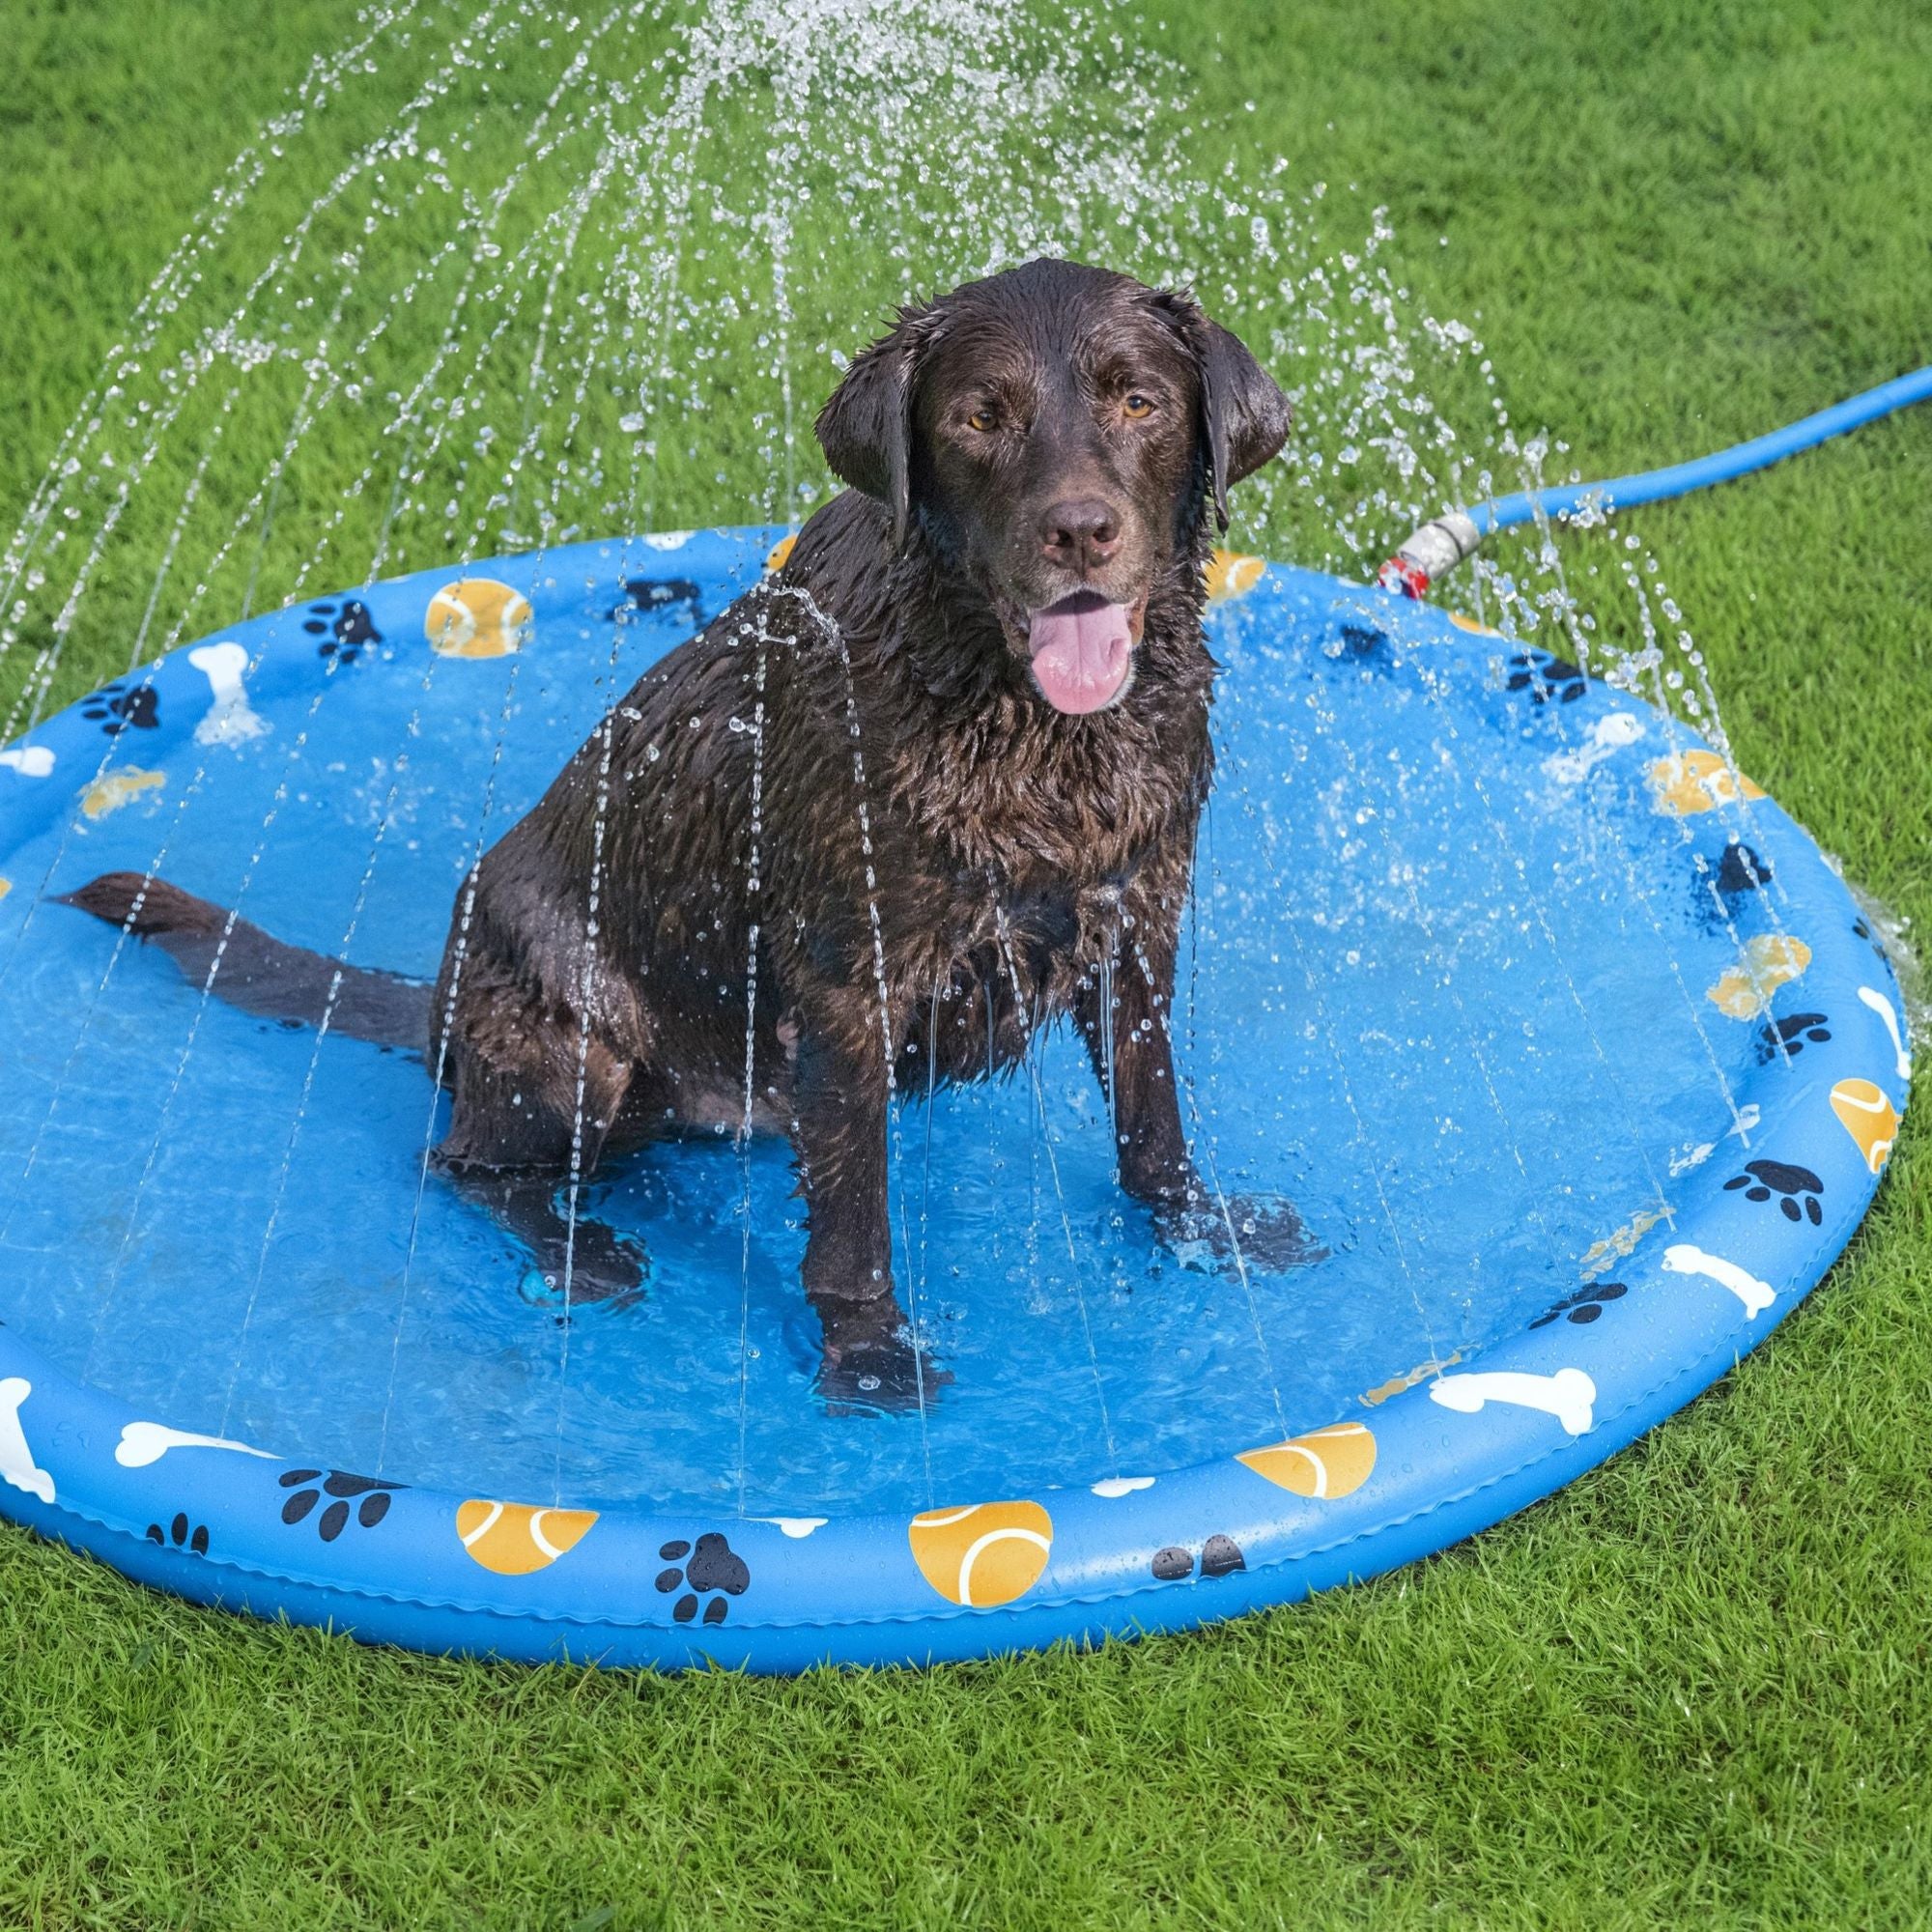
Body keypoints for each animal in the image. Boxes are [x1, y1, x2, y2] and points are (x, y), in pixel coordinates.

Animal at [71, 257, 1314, 1406]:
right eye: (978, 417)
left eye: (1138, 401)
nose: (1079, 530)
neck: (1030, 728)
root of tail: (436, 1011)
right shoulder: (847, 980)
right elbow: (854, 1219)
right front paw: (867, 1355)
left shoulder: (1134, 919)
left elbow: (1151, 1115)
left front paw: (1199, 1228)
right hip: (574, 1038)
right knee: (465, 1162)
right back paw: (587, 1251)